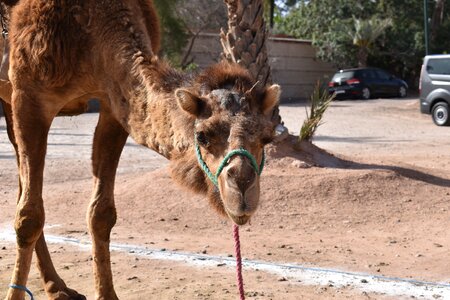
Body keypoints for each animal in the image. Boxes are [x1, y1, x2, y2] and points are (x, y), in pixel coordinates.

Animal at [0, 0, 282, 300]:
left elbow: (101, 214)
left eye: (267, 137)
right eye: (203, 136)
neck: (90, 23)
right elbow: (29, 216)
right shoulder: (29, 96)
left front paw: (106, 293)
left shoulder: (114, 104)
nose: (242, 187)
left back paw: (57, 287)